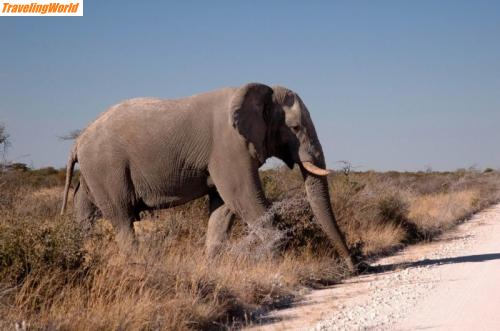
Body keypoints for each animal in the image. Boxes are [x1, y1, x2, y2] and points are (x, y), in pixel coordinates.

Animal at [60, 82, 358, 272]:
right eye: (295, 128)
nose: (353, 268)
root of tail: (78, 140)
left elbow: (223, 208)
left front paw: (212, 267)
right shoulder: (229, 146)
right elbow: (244, 199)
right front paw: (274, 265)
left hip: (93, 172)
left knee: (86, 212)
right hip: (106, 167)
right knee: (122, 220)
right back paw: (137, 267)